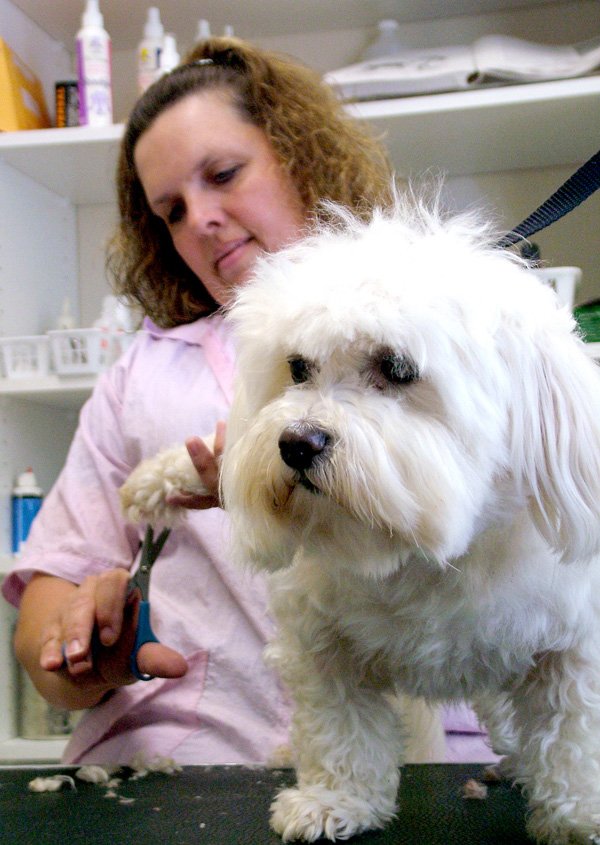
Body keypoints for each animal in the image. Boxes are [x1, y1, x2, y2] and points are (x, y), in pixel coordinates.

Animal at [122, 196, 600, 844]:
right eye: (298, 367)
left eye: (397, 368)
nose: (296, 443)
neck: (425, 554)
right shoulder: (322, 643)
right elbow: (340, 730)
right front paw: (335, 801)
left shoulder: (573, 645)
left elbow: (574, 736)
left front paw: (579, 813)